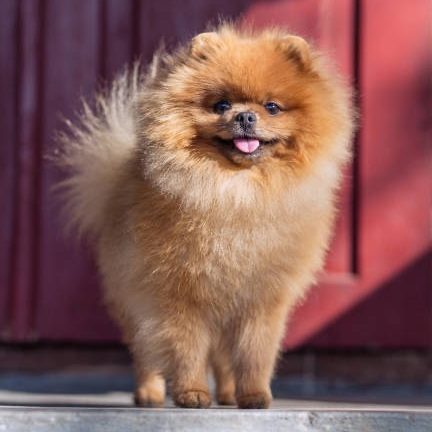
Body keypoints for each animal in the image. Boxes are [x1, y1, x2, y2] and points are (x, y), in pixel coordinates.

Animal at [56, 24, 354, 408]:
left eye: (272, 107)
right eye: (221, 105)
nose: (245, 116)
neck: (235, 192)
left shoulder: (261, 300)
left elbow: (254, 354)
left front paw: (254, 394)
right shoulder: (178, 295)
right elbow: (186, 349)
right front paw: (192, 393)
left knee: (222, 358)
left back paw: (227, 394)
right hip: (133, 295)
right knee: (145, 351)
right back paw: (149, 393)